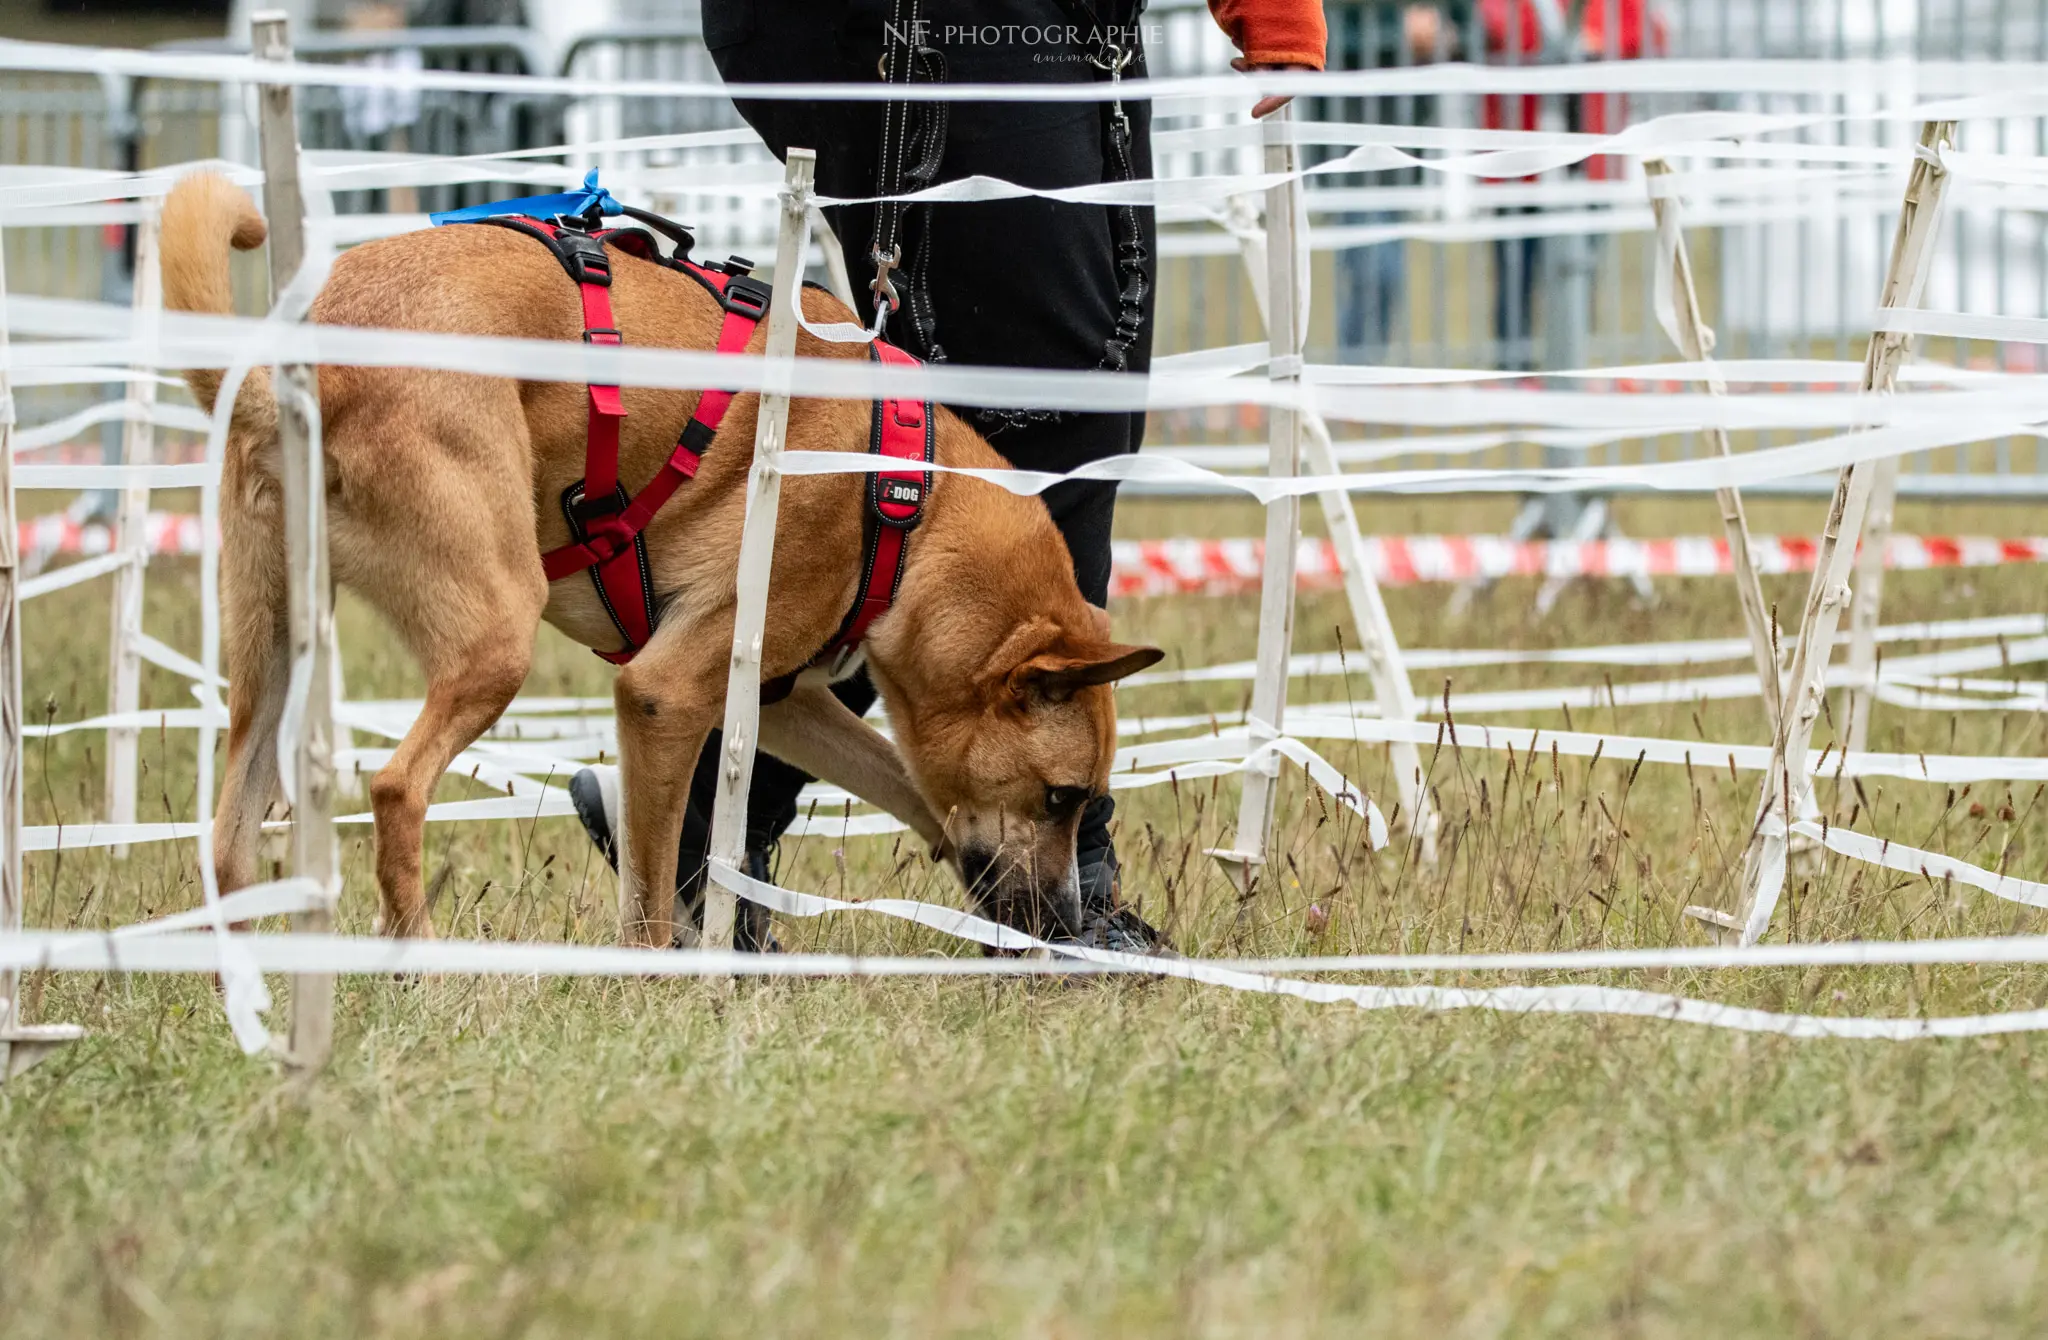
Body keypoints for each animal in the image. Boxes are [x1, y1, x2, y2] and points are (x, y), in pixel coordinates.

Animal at [159, 178, 1163, 950]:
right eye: (1063, 796)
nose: (1067, 925)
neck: (907, 493)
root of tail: (297, 363)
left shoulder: (777, 695)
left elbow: (902, 778)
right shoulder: (666, 693)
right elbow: (646, 892)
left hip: (272, 648)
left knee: (229, 841)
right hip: (495, 637)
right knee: (395, 788)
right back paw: (415, 965)